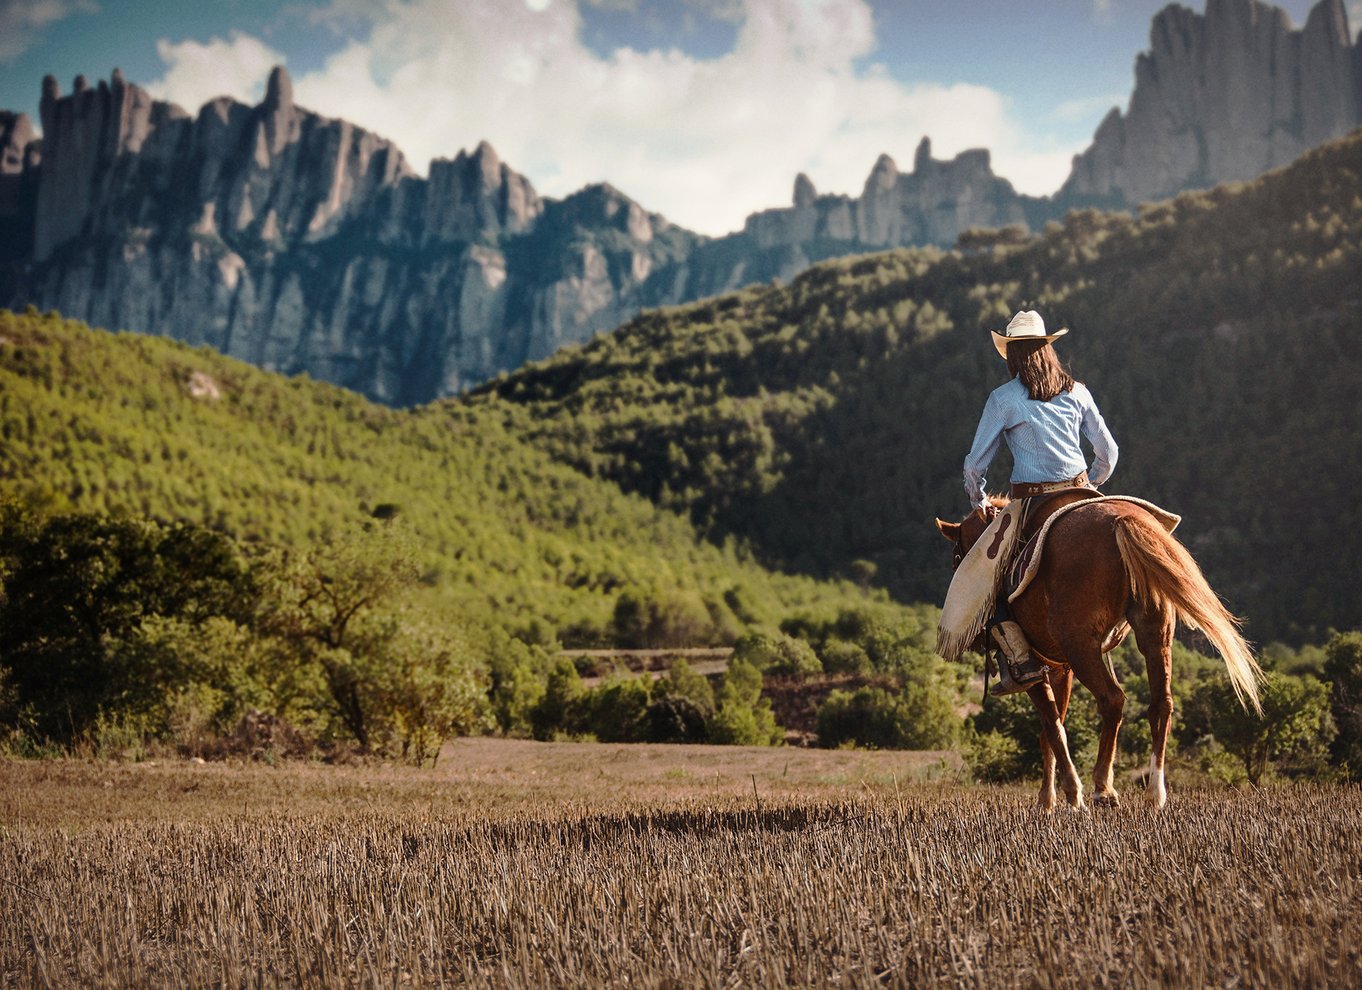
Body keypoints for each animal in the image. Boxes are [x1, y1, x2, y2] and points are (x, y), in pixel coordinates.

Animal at [937, 495, 1253, 811]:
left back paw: (1103, 788)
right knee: (1161, 704)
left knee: (1112, 699)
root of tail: (1123, 520)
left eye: (956, 558)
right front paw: (1048, 798)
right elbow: (1053, 729)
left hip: (1082, 647)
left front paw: (1069, 794)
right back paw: (1155, 792)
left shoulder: (1036, 672)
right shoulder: (1059, 669)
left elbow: (1052, 726)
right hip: (1155, 636)